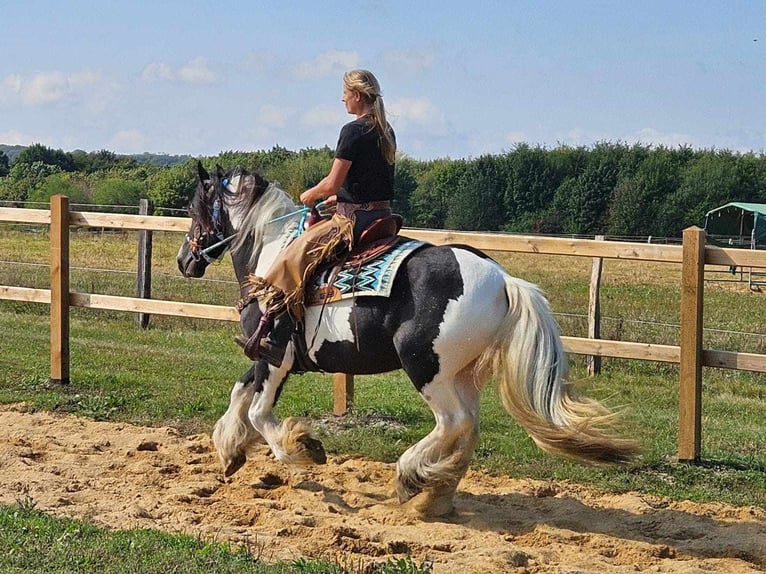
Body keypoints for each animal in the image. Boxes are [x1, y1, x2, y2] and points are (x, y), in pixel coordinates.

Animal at [177, 164, 640, 520]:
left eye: (194, 209)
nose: (185, 260)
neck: (272, 254)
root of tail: (503, 281)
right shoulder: (267, 355)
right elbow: (240, 392)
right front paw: (229, 450)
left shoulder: (275, 353)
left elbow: (258, 411)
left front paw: (303, 447)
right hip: (463, 374)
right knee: (468, 430)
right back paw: (434, 495)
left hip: (426, 368)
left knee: (453, 422)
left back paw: (409, 478)